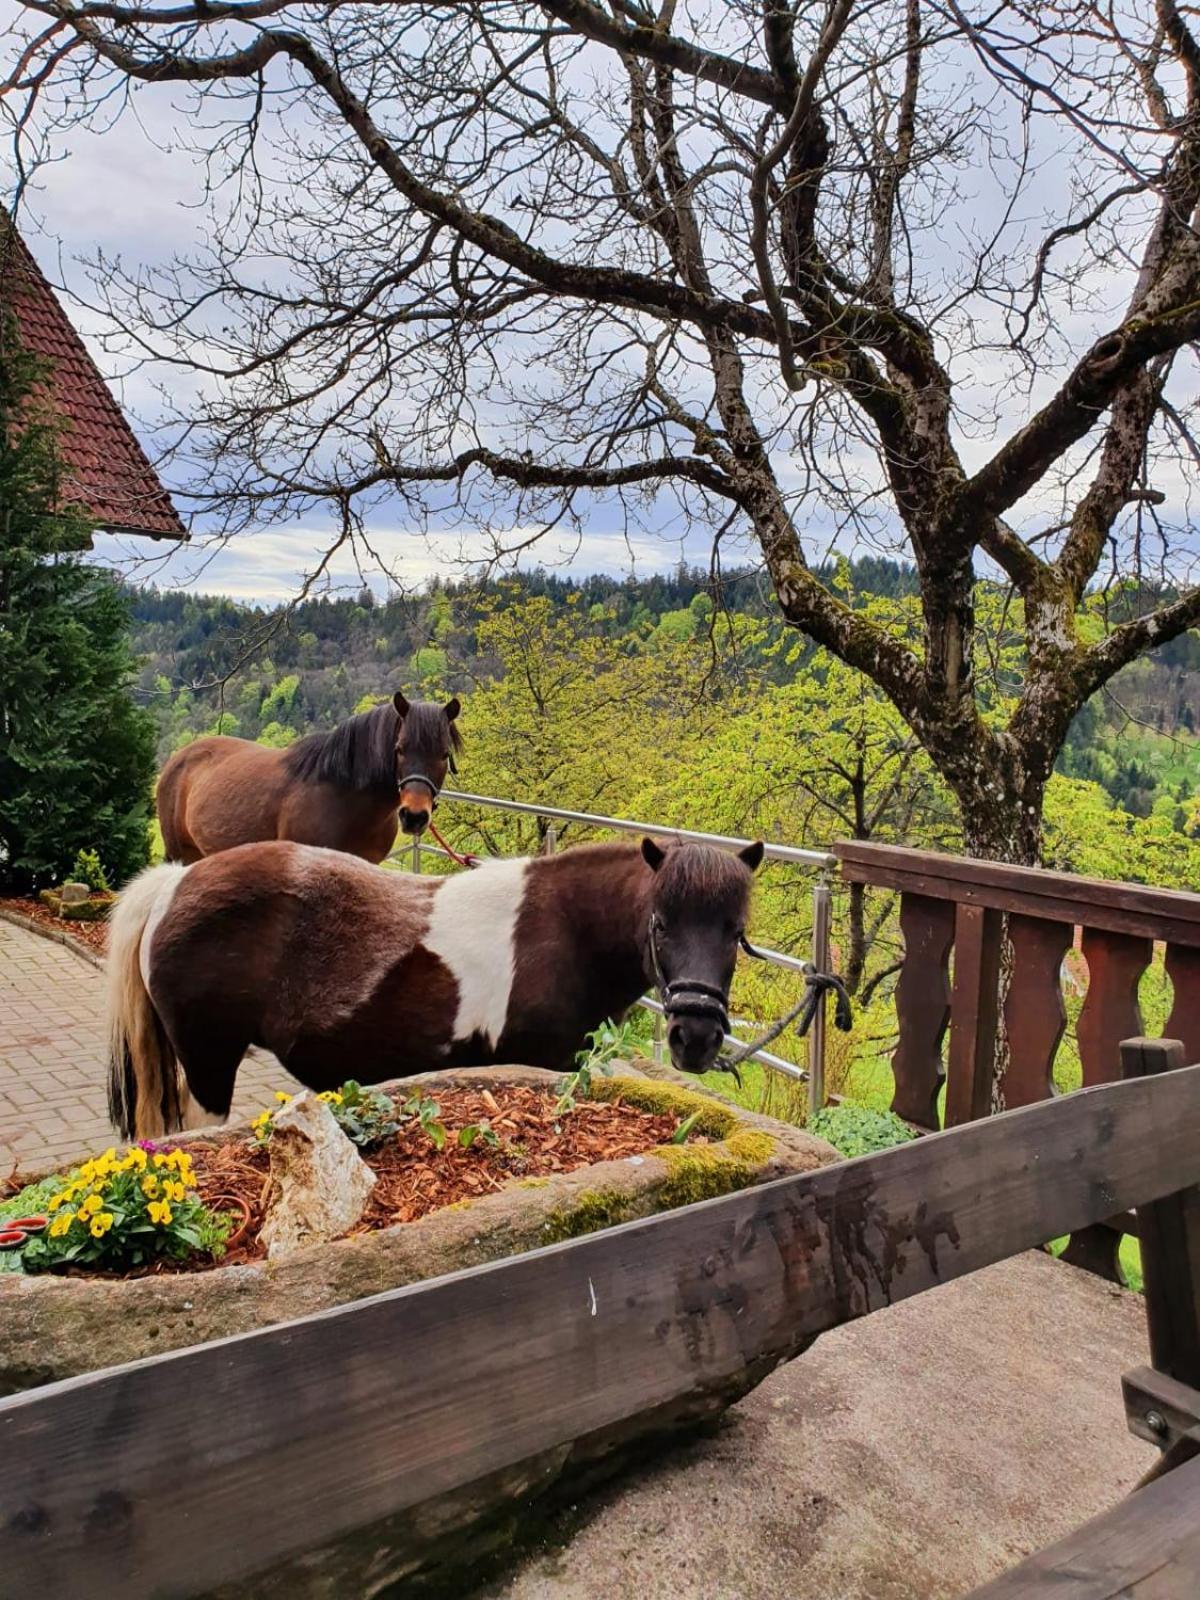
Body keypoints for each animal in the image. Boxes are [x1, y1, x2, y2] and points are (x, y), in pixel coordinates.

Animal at [103, 838, 761, 1139]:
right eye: (660, 923)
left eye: (736, 932)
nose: (695, 1036)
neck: (565, 929)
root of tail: (175, 883)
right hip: (209, 1063)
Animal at [156, 688, 464, 864]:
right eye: (399, 749)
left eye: (444, 754)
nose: (414, 817)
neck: (344, 797)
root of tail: (179, 757)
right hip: (180, 853)